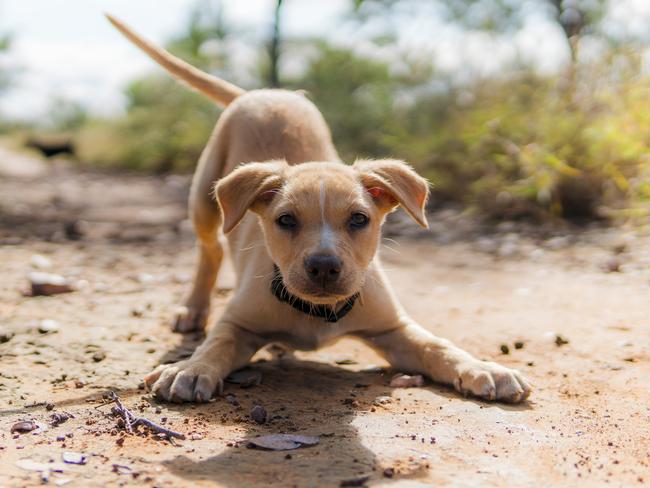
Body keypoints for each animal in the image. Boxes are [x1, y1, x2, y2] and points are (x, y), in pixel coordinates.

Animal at [107, 15, 532, 404]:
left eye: (359, 219)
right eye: (285, 220)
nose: (324, 267)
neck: (317, 312)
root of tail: (260, 92)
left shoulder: (396, 329)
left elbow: (438, 345)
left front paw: (482, 367)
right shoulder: (236, 323)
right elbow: (217, 344)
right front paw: (191, 368)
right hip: (204, 201)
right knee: (209, 250)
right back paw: (193, 309)